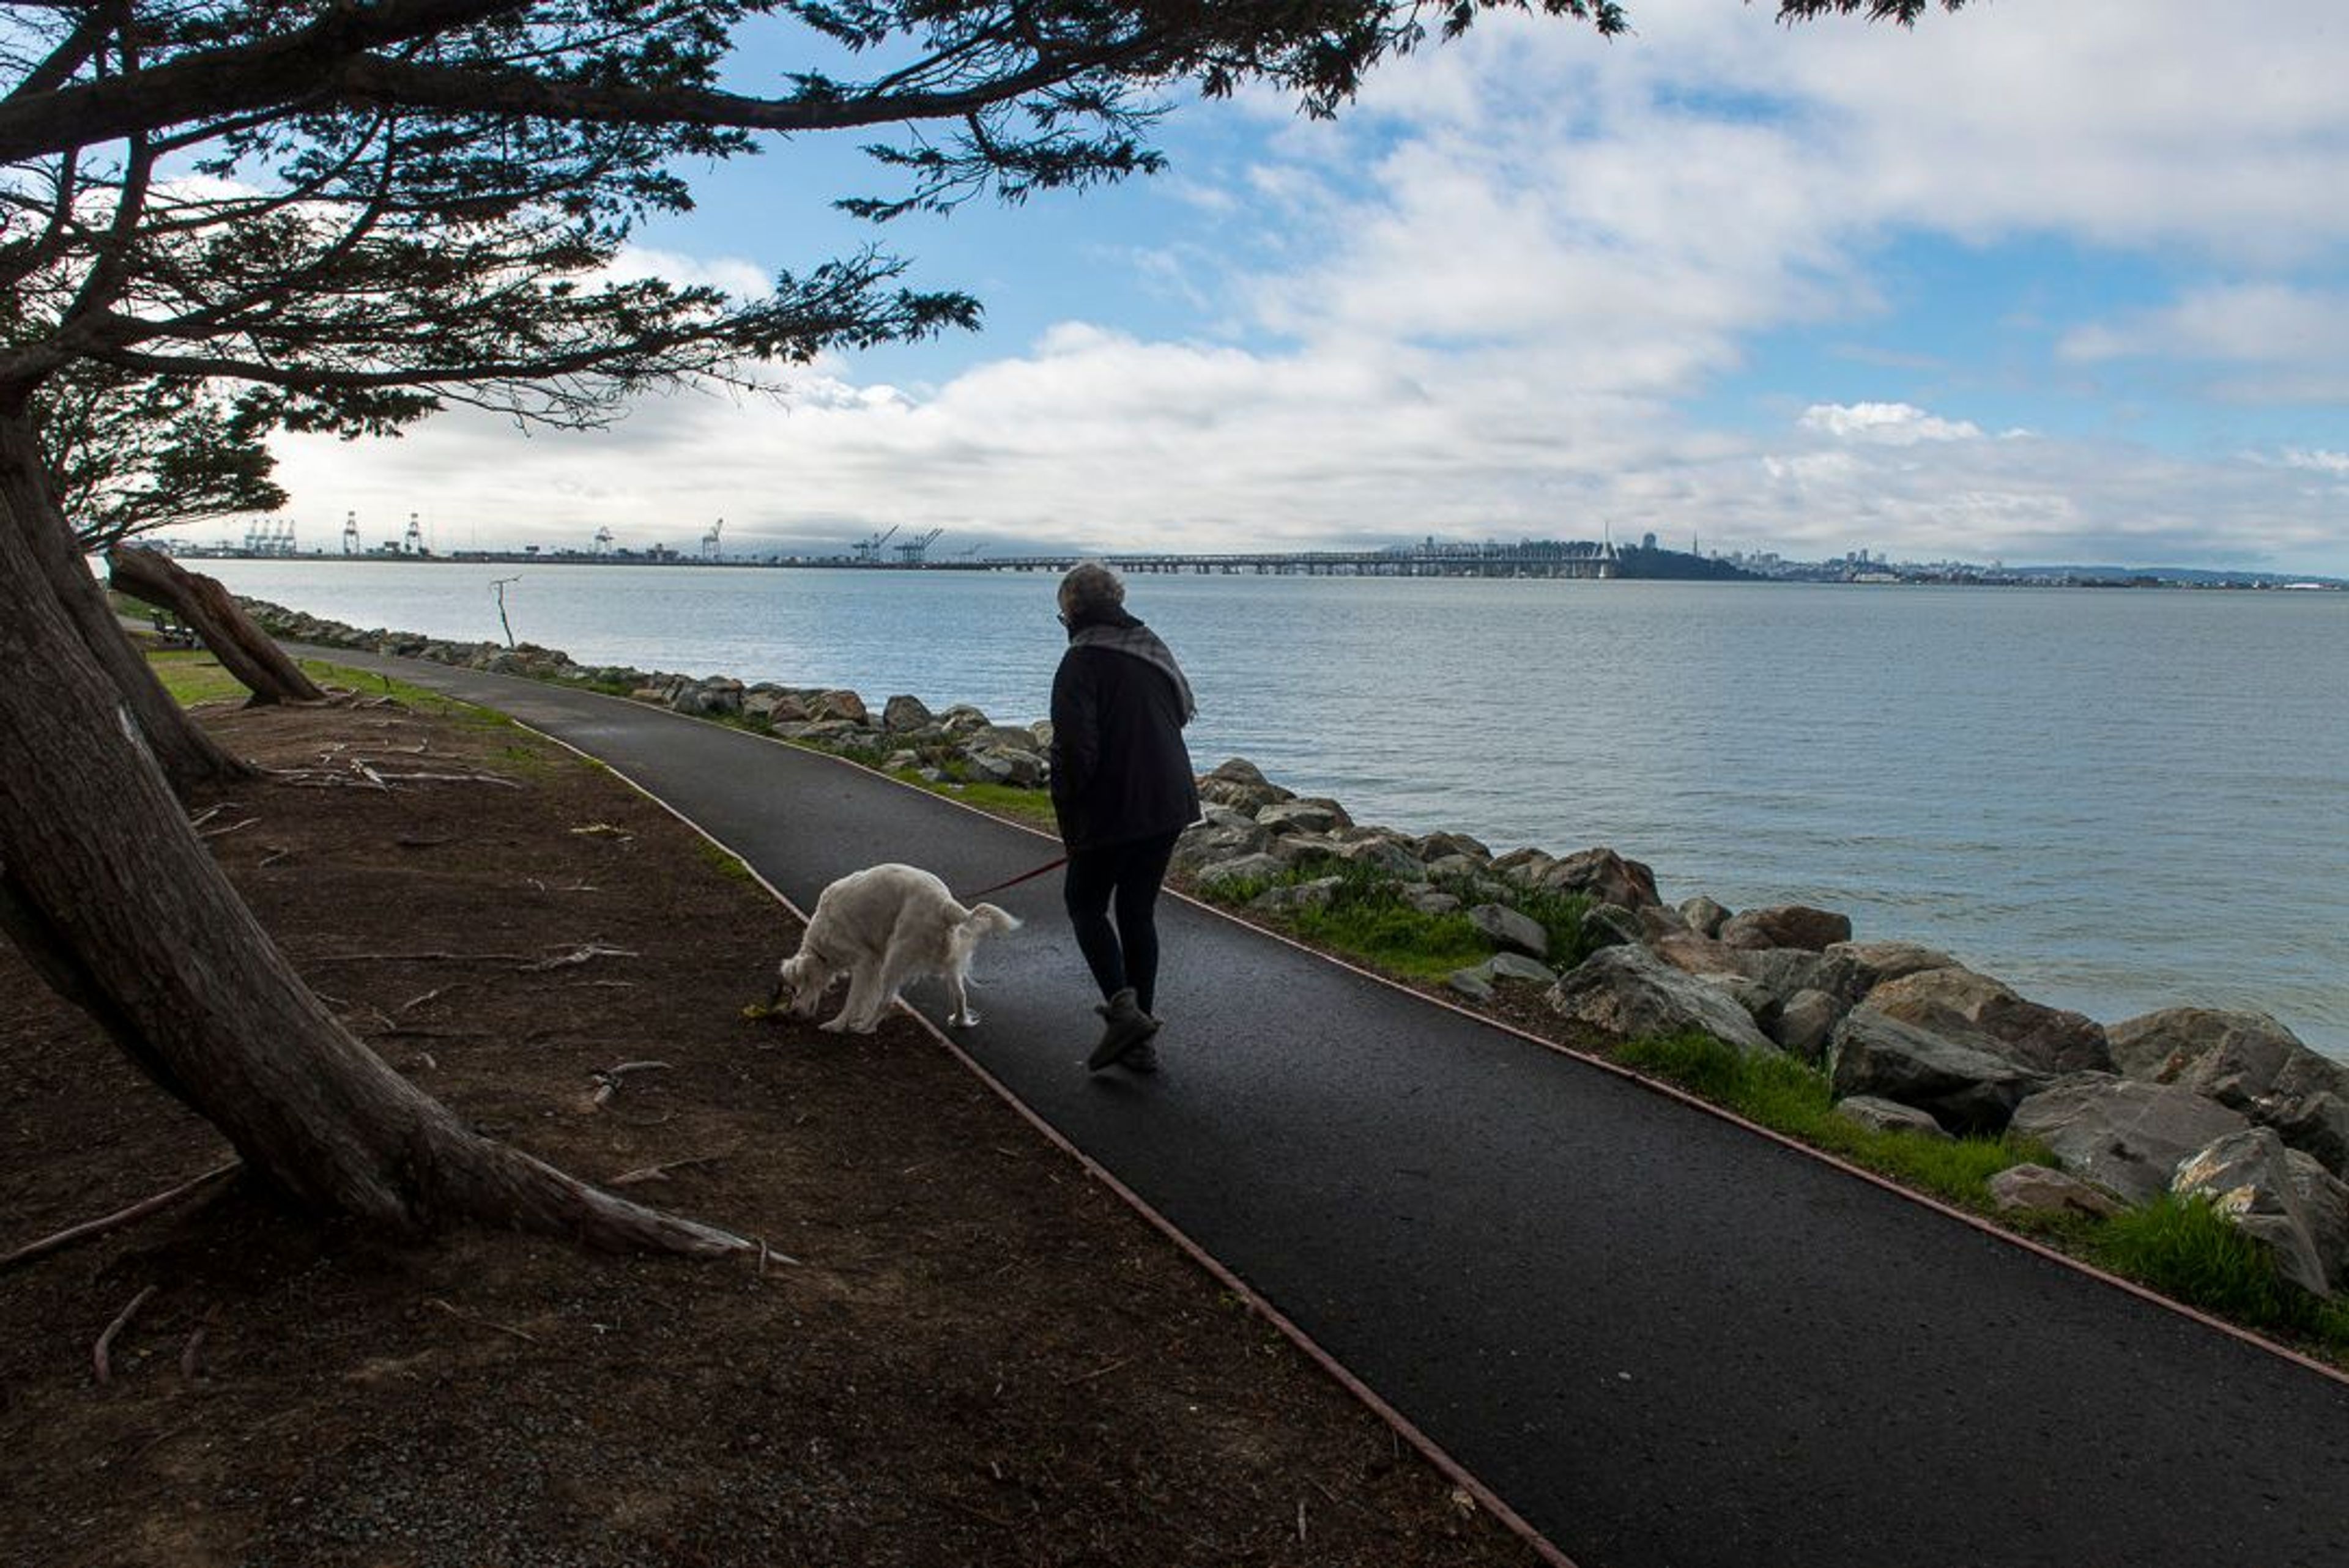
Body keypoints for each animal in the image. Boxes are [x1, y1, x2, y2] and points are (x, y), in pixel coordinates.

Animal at [770, 864, 1019, 1032]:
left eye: (795, 988)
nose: (792, 1013)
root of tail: (945, 903)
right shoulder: (875, 962)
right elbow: (868, 996)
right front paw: (855, 1018)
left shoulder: (865, 961)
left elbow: (854, 999)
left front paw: (839, 1024)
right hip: (947, 960)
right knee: (960, 995)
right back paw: (959, 1021)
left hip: (897, 955)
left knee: (887, 1001)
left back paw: (865, 1028)